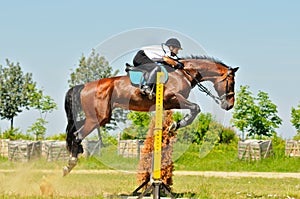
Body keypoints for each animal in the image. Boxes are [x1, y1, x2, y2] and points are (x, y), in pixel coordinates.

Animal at [63, 55, 239, 174]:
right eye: (231, 82)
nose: (229, 105)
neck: (184, 73)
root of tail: (84, 86)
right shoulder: (173, 97)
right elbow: (195, 108)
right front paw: (175, 125)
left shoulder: (170, 102)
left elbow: (193, 109)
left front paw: (174, 125)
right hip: (97, 118)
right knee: (78, 135)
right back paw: (70, 163)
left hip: (97, 117)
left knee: (74, 130)